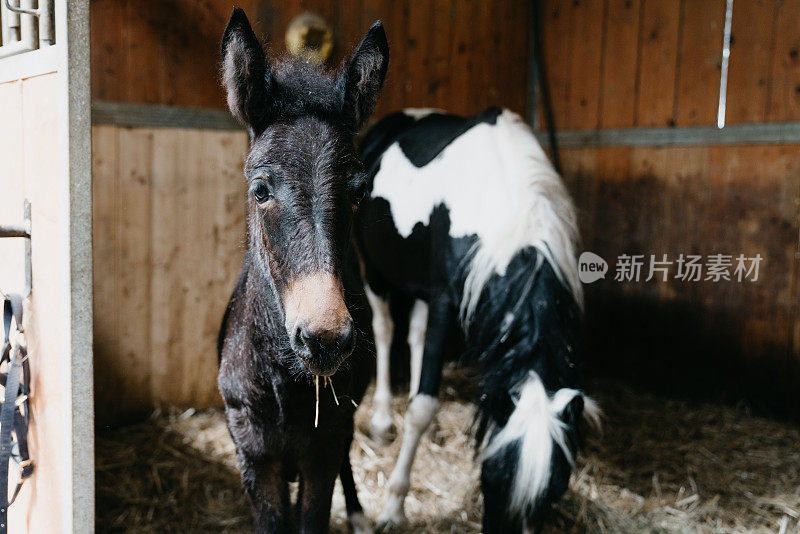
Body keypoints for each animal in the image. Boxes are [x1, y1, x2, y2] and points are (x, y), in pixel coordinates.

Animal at [356, 108, 600, 532]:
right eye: (492, 479)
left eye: (555, 489)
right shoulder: (443, 299)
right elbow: (421, 406)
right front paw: (393, 506)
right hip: (375, 271)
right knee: (385, 331)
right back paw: (383, 421)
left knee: (415, 336)